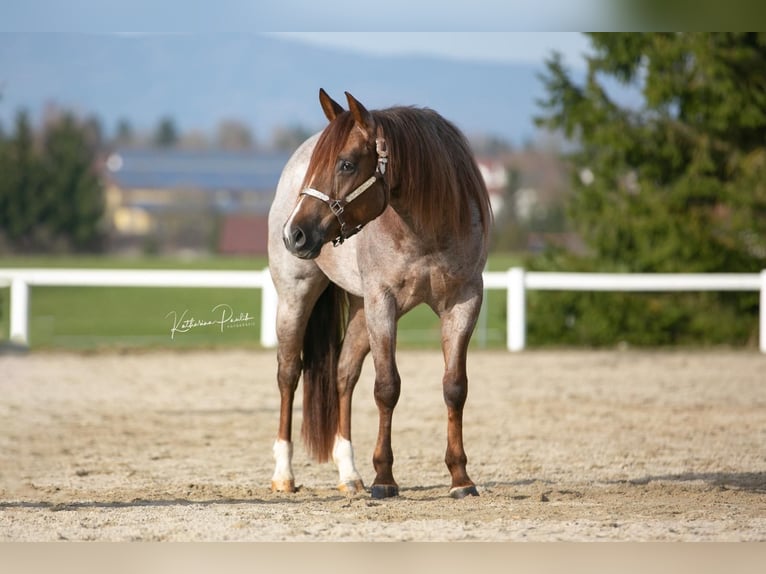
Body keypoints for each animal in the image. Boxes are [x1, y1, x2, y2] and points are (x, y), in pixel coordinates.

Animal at [268, 89, 496, 500]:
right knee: (288, 374)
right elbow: (387, 387)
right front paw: (385, 478)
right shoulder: (383, 303)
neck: (425, 231)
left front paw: (460, 478)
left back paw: (349, 474)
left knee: (343, 375)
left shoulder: (464, 302)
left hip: (360, 310)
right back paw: (284, 474)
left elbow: (454, 387)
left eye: (346, 164)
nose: (294, 233)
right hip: (296, 297)